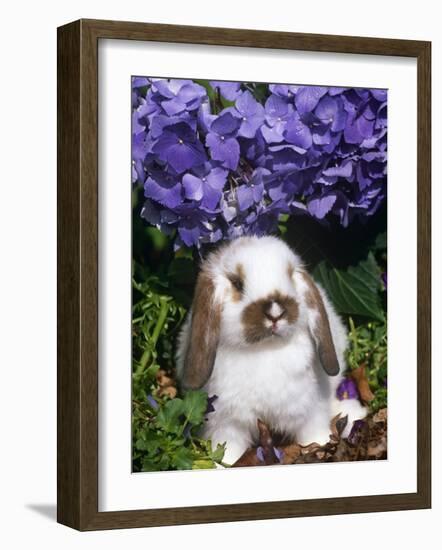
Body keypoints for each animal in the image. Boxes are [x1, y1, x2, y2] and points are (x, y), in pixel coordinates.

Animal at [175, 235, 366, 468]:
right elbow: (226, 451)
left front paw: (321, 448)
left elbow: (314, 436)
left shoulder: (310, 411)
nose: (275, 312)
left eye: (290, 275)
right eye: (237, 283)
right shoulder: (225, 423)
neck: (264, 349)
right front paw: (221, 464)